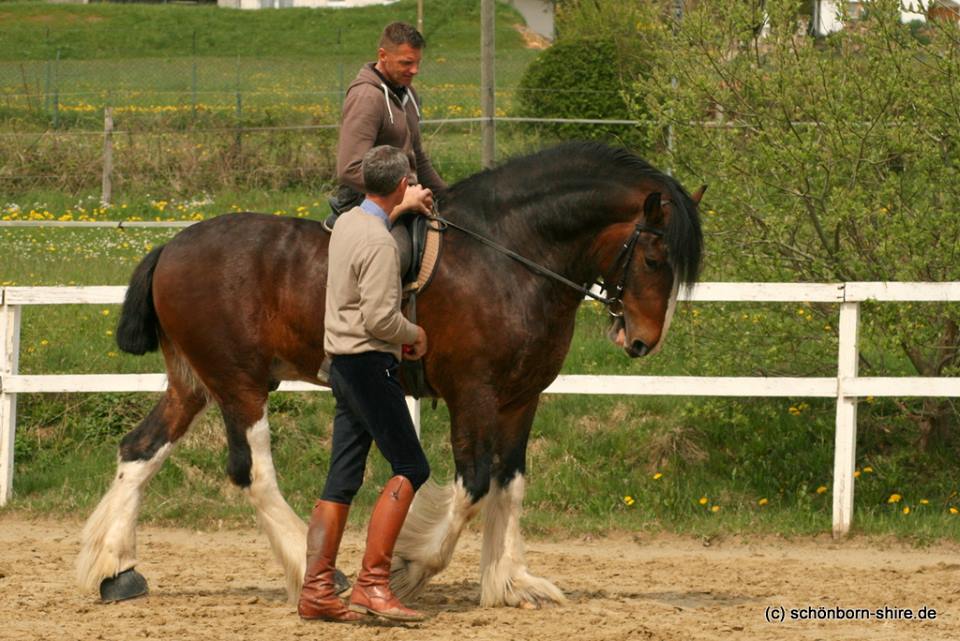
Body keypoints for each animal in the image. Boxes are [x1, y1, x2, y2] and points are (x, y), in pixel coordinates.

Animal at [77, 142, 704, 608]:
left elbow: (511, 484)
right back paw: (313, 568)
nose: (643, 340)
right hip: (240, 385)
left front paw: (509, 582)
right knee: (251, 472)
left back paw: (114, 569)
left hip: (193, 383)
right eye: (654, 259)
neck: (507, 255)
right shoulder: (473, 394)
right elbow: (474, 485)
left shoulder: (521, 399)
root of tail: (172, 244)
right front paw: (409, 568)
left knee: (140, 450)